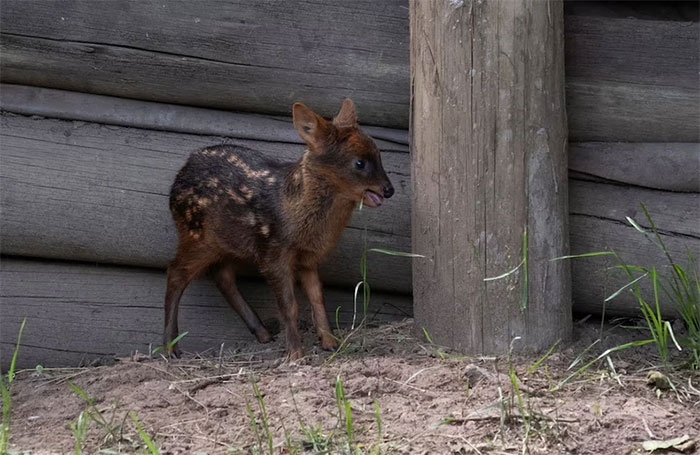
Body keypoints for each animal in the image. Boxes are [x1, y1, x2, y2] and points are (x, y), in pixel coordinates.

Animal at [163, 99, 394, 360]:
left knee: (222, 276)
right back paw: (171, 347)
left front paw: (330, 342)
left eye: (379, 154)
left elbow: (317, 298)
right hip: (195, 234)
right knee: (176, 273)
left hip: (227, 243)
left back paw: (263, 333)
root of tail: (181, 173)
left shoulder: (307, 258)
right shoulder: (274, 253)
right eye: (359, 162)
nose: (389, 190)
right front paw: (295, 353)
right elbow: (289, 305)